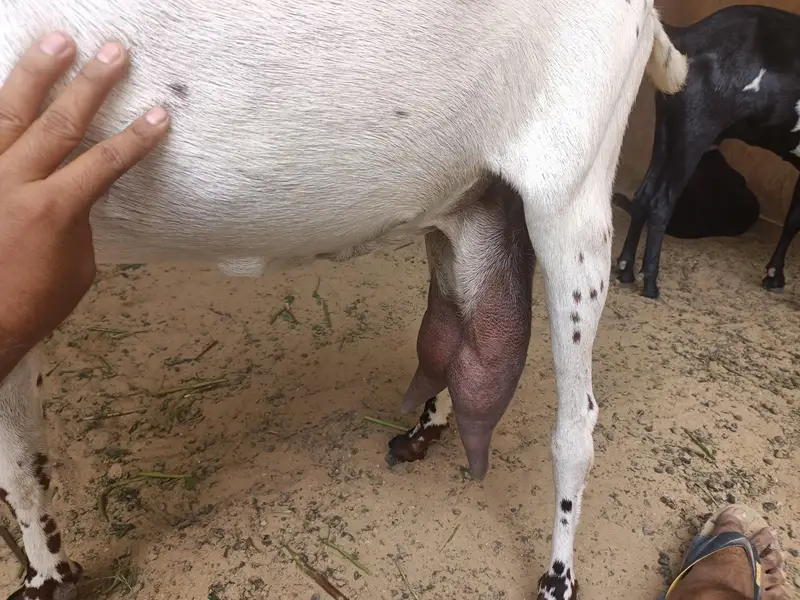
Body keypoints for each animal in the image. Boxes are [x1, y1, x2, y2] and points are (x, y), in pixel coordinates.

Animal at [0, 1, 687, 598]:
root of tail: (650, 13)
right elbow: (21, 464)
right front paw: (45, 575)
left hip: (571, 204)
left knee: (578, 425)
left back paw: (558, 577)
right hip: (472, 202)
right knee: (462, 327)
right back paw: (426, 426)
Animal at [616, 5, 800, 298]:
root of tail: (689, 35)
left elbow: (792, 218)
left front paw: (774, 275)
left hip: (667, 131)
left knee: (644, 195)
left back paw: (625, 268)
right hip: (696, 130)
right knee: (661, 203)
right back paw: (650, 283)